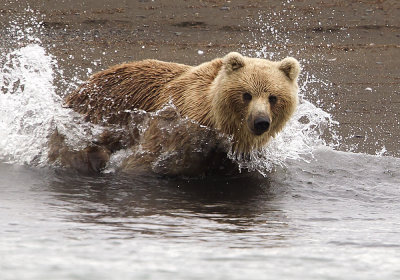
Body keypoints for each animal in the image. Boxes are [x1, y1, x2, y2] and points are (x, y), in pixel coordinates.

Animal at [49, 52, 300, 175]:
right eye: (246, 94)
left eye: (273, 97)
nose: (261, 122)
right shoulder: (177, 128)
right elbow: (143, 161)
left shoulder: (239, 155)